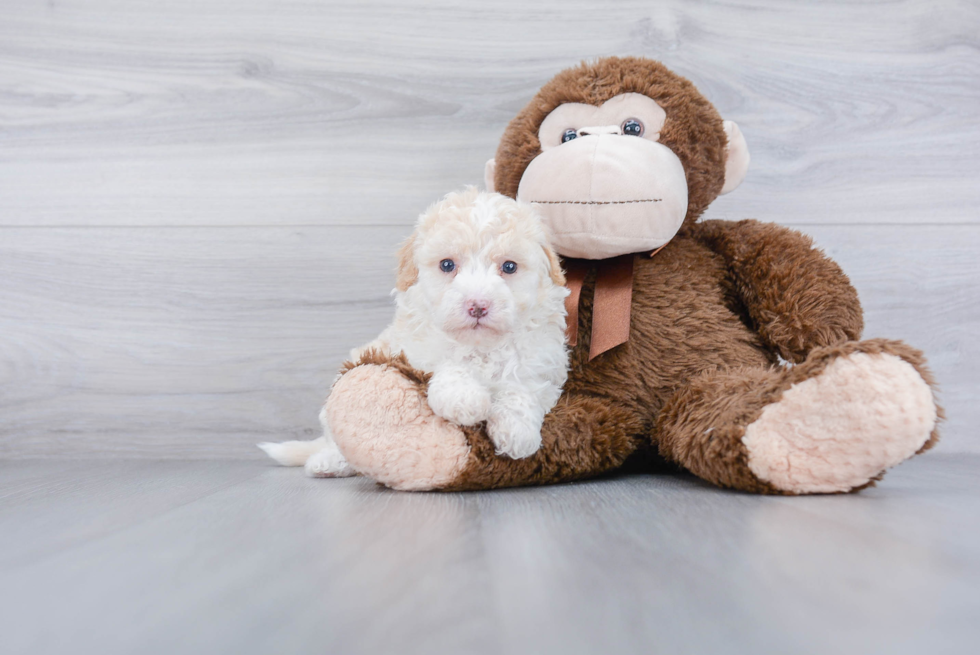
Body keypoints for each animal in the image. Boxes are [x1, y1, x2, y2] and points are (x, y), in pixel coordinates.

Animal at [260, 188, 568, 476]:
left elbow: (520, 388)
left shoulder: (540, 366)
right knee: (337, 441)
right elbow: (449, 366)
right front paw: (465, 399)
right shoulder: (415, 352)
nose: (477, 305)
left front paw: (517, 432)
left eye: (509, 266)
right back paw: (327, 462)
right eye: (447, 265)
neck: (479, 347)